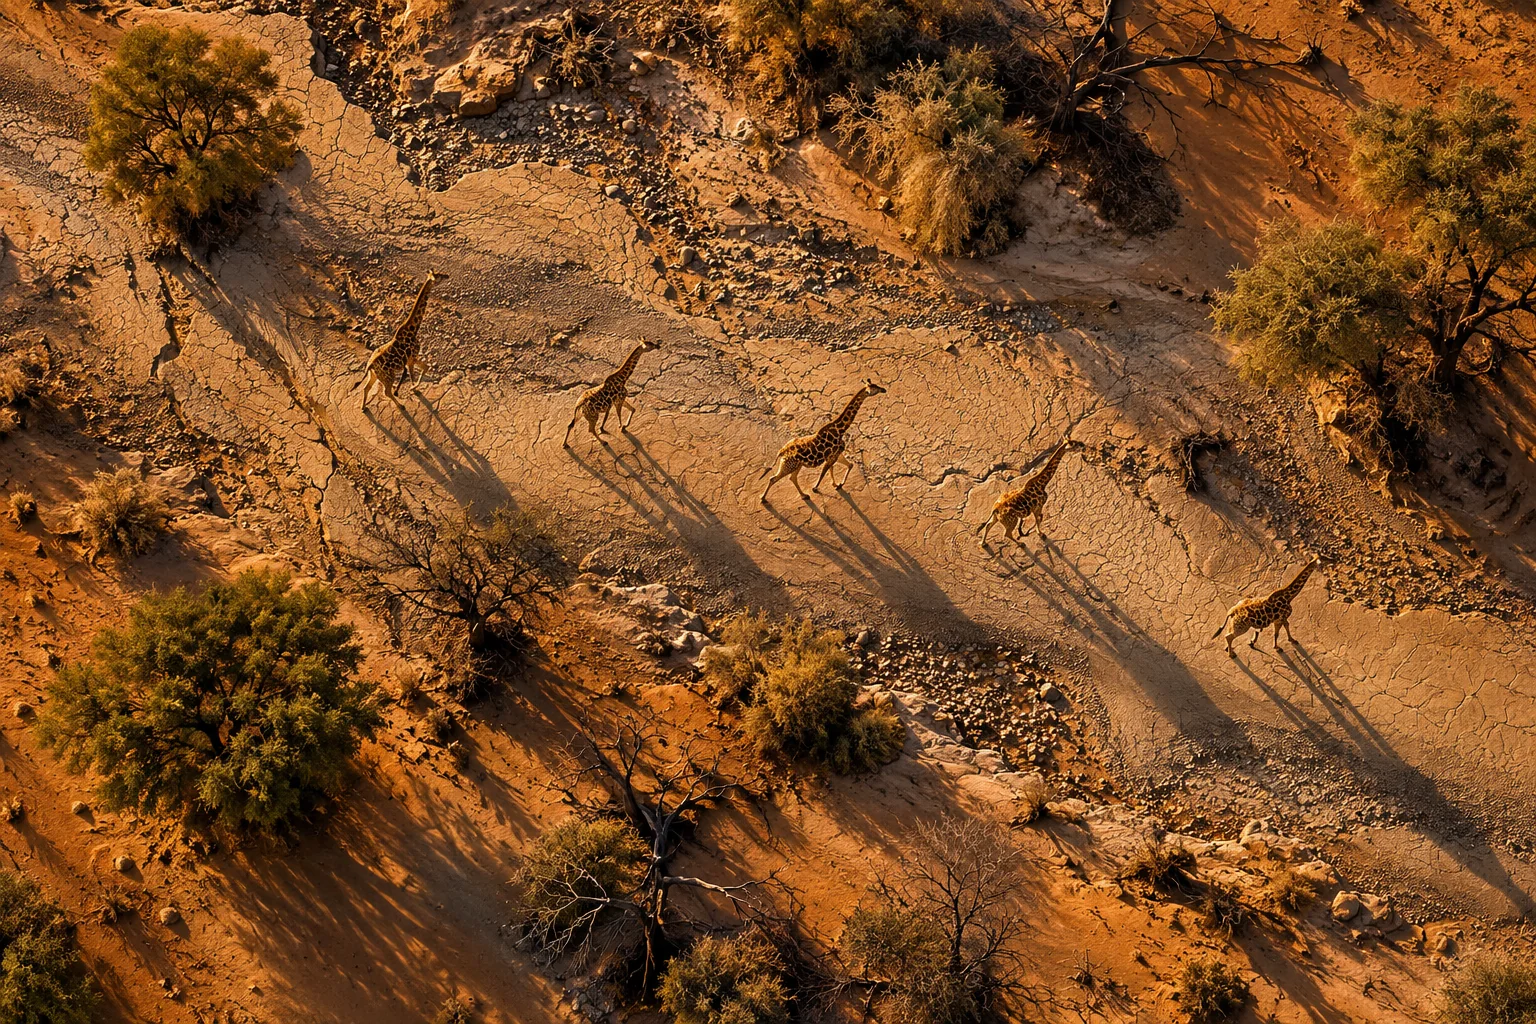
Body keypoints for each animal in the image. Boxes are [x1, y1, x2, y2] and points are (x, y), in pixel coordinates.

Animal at [359, 271, 446, 408]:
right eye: (439, 277)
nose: (447, 276)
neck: (413, 329)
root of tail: (370, 365)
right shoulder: (411, 358)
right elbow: (414, 375)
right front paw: (413, 389)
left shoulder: (412, 358)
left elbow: (425, 368)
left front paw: (414, 389)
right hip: (388, 375)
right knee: (386, 392)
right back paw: (400, 405)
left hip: (374, 375)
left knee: (366, 387)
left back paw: (363, 407)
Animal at [757, 380, 886, 503]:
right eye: (874, 388)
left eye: (876, 384)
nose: (884, 389)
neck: (840, 430)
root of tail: (781, 451)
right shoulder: (832, 456)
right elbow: (825, 472)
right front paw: (817, 488)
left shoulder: (835, 454)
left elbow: (847, 466)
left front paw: (837, 484)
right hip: (789, 465)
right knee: (773, 478)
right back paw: (763, 498)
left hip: (796, 465)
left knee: (791, 478)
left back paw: (804, 496)